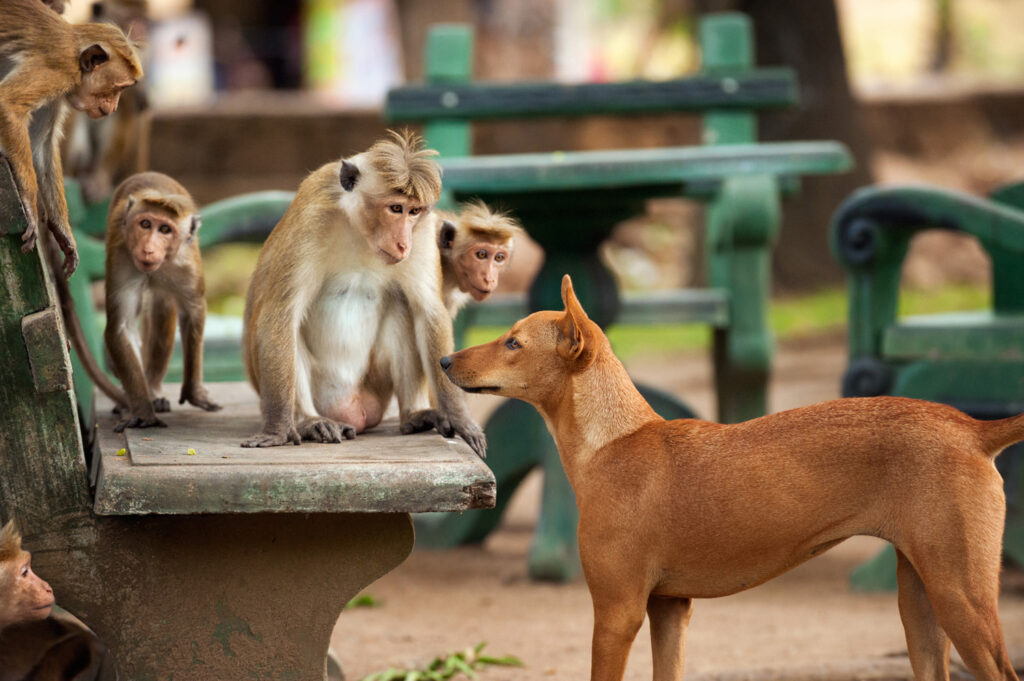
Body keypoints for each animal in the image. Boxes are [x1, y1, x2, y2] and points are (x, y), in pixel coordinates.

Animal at [0, 0, 143, 278]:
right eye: (118, 88)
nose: (113, 108)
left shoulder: (60, 92)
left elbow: (41, 147)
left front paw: (63, 233)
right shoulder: (60, 70)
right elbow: (9, 104)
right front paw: (29, 203)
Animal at [104, 172, 221, 432]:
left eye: (165, 229)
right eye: (146, 224)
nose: (148, 249)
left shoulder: (186, 264)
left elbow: (193, 312)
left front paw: (194, 391)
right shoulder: (121, 258)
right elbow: (122, 328)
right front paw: (142, 411)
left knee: (162, 308)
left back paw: (154, 389)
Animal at [242, 129, 486, 456]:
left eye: (414, 211)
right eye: (395, 208)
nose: (403, 244)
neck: (359, 231)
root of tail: (350, 410)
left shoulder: (423, 232)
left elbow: (428, 311)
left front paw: (460, 418)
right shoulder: (311, 218)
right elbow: (281, 312)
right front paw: (277, 430)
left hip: (375, 386)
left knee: (402, 304)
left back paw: (414, 417)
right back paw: (310, 421)